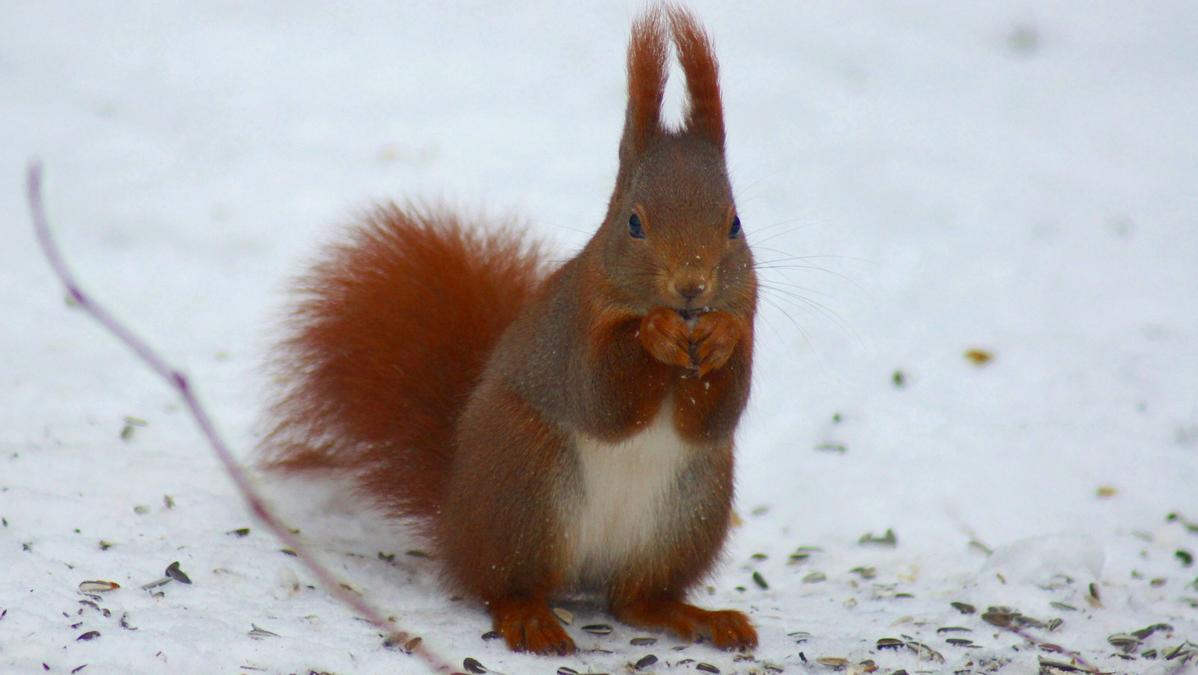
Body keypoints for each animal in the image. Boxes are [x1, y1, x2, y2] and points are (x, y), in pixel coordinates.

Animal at [264, 7, 757, 657]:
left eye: (734, 224)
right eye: (633, 223)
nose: (693, 287)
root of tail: (455, 520)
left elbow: (717, 411)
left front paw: (723, 334)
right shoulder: (573, 329)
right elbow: (603, 397)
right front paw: (653, 332)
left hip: (689, 509)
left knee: (635, 600)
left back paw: (697, 617)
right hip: (526, 482)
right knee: (502, 585)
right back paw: (529, 617)